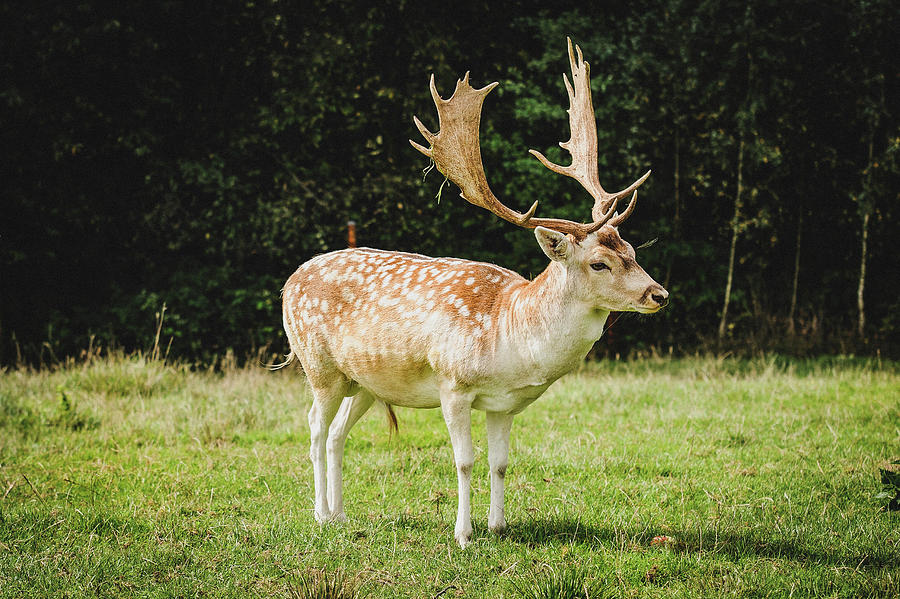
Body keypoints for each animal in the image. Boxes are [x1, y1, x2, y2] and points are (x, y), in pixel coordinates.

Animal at [282, 38, 668, 548]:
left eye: (632, 249)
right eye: (599, 263)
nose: (659, 295)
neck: (510, 334)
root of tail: (288, 282)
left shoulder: (505, 404)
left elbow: (500, 463)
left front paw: (499, 526)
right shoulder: (453, 384)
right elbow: (464, 461)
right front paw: (464, 535)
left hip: (362, 379)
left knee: (336, 434)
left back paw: (342, 515)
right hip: (318, 365)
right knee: (313, 427)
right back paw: (321, 515)